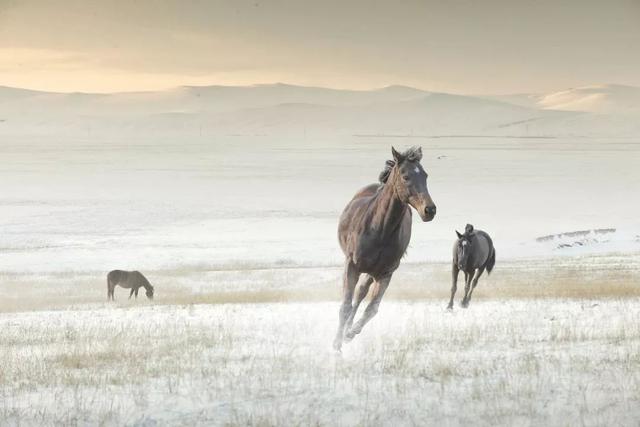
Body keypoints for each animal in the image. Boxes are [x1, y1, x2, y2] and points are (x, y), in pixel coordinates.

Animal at [332, 147, 438, 352]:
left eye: (425, 175)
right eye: (406, 176)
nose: (429, 210)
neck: (380, 229)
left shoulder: (386, 274)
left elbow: (372, 308)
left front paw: (349, 334)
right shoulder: (351, 266)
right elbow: (345, 305)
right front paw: (336, 346)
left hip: (372, 272)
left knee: (361, 293)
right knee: (357, 295)